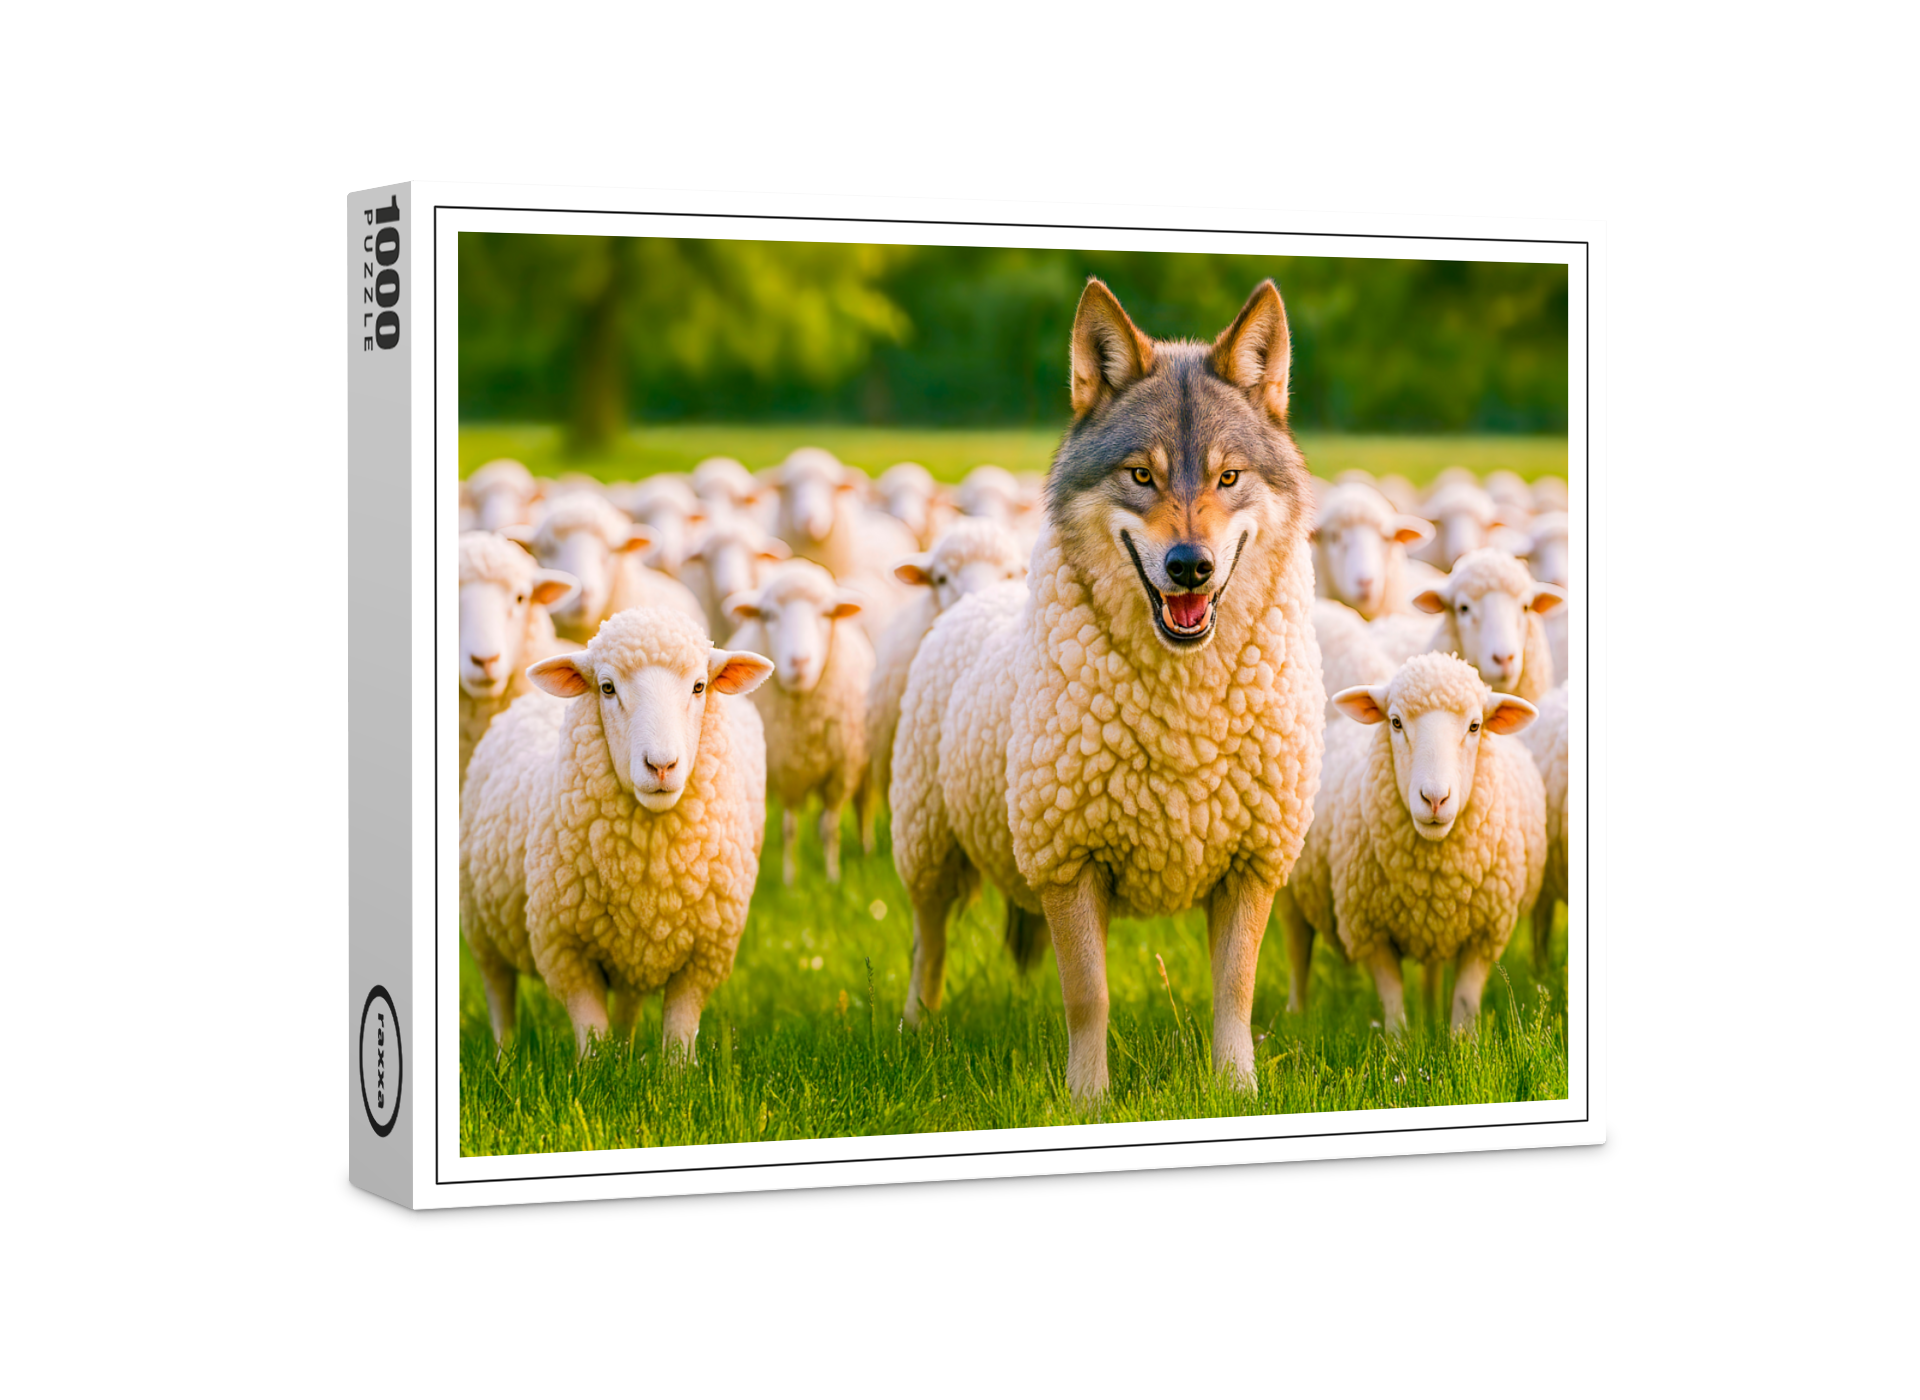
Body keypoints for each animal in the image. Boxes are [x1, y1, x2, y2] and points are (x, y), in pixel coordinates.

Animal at [458, 607, 773, 1054]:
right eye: (607, 688)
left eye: (699, 686)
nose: (661, 765)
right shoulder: (566, 952)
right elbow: (591, 1036)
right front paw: (595, 1068)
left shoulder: (703, 959)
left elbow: (679, 1039)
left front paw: (667, 1071)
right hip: (481, 927)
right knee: (500, 996)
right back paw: (505, 1057)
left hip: (631, 957)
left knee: (627, 1008)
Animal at [725, 559, 874, 886]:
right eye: (769, 615)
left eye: (826, 614)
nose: (800, 662)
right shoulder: (786, 771)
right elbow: (790, 829)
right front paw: (790, 881)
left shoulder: (839, 775)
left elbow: (831, 827)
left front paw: (832, 877)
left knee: (862, 806)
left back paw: (866, 850)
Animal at [889, 278, 1326, 1099]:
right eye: (1141, 475)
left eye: (1227, 477)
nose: (1190, 566)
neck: (1185, 704)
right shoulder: (1068, 860)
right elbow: (1088, 996)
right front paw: (1088, 1100)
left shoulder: (1250, 866)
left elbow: (1235, 992)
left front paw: (1236, 1091)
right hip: (929, 854)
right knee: (927, 948)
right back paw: (914, 1033)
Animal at [1273, 651, 1546, 1034]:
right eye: (1396, 722)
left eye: (1475, 726)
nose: (1434, 799)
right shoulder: (1370, 932)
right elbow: (1392, 1006)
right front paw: (1400, 1044)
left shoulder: (1484, 935)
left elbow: (1465, 1003)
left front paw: (1462, 1044)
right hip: (1291, 895)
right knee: (1299, 954)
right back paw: (1295, 1017)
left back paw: (1431, 1016)